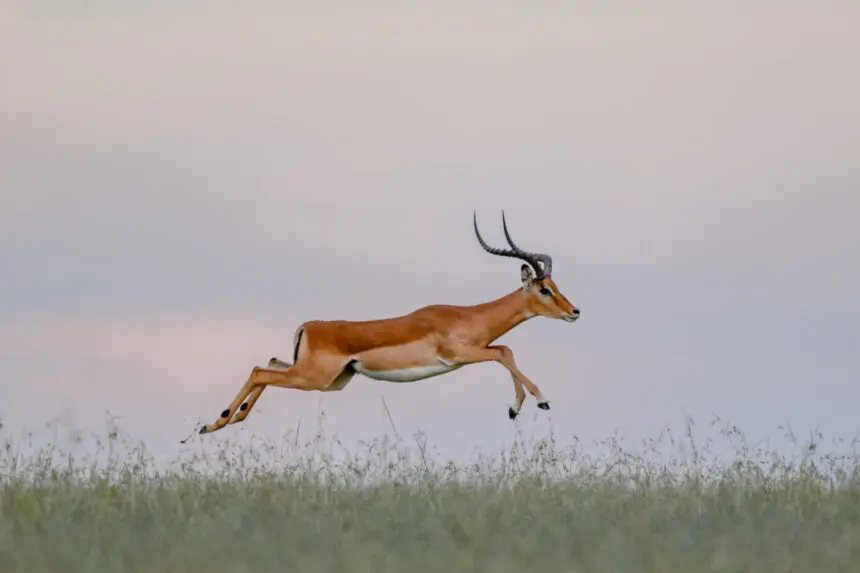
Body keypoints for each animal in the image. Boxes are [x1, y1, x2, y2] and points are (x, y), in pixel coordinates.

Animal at [194, 212, 580, 437]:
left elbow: (506, 350)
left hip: (329, 381)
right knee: (260, 371)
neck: (469, 316)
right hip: (313, 378)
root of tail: (308, 327)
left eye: (556, 285)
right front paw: (539, 401)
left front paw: (515, 409)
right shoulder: (460, 355)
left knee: (269, 364)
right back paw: (216, 422)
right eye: (544, 289)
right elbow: (503, 352)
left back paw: (223, 421)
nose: (574, 311)